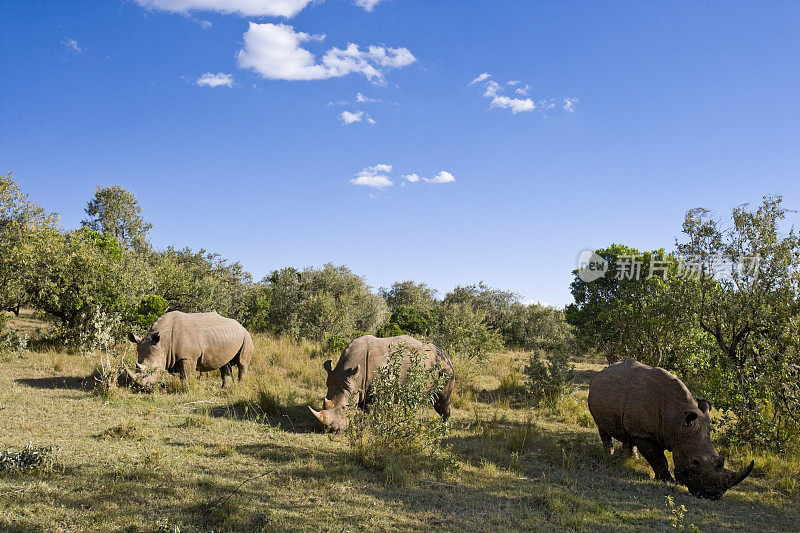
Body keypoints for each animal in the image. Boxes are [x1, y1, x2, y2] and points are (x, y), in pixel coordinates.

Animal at [308, 334, 454, 430]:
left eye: (344, 407)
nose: (332, 430)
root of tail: (443, 353)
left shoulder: (382, 389)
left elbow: (378, 409)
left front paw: (376, 426)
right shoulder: (362, 389)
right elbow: (366, 408)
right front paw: (367, 423)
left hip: (445, 367)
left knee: (444, 397)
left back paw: (443, 428)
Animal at [588, 358, 752, 498]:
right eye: (695, 462)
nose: (714, 495)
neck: (676, 419)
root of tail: (601, 371)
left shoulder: (646, 431)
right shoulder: (644, 434)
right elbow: (658, 458)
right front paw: (667, 480)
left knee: (627, 433)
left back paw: (631, 458)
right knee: (602, 428)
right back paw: (608, 455)